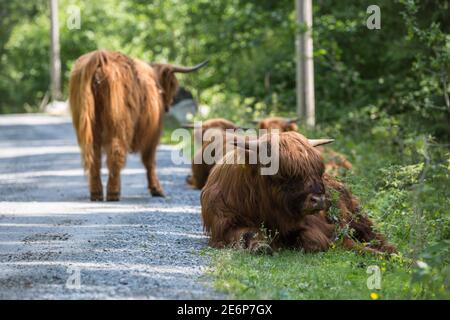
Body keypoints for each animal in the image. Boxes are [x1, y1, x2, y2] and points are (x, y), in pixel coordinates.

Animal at [70, 49, 207, 200]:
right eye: (173, 86)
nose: (168, 105)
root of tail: (100, 57)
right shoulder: (153, 133)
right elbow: (149, 160)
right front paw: (156, 189)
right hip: (118, 123)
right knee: (116, 151)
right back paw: (113, 193)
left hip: (88, 123)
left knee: (94, 155)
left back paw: (96, 193)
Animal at [200, 131, 394, 255]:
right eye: (281, 173)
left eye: (318, 170)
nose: (319, 200)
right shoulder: (225, 226)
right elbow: (247, 234)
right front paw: (260, 247)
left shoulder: (314, 224)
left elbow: (316, 239)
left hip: (357, 216)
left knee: (374, 235)